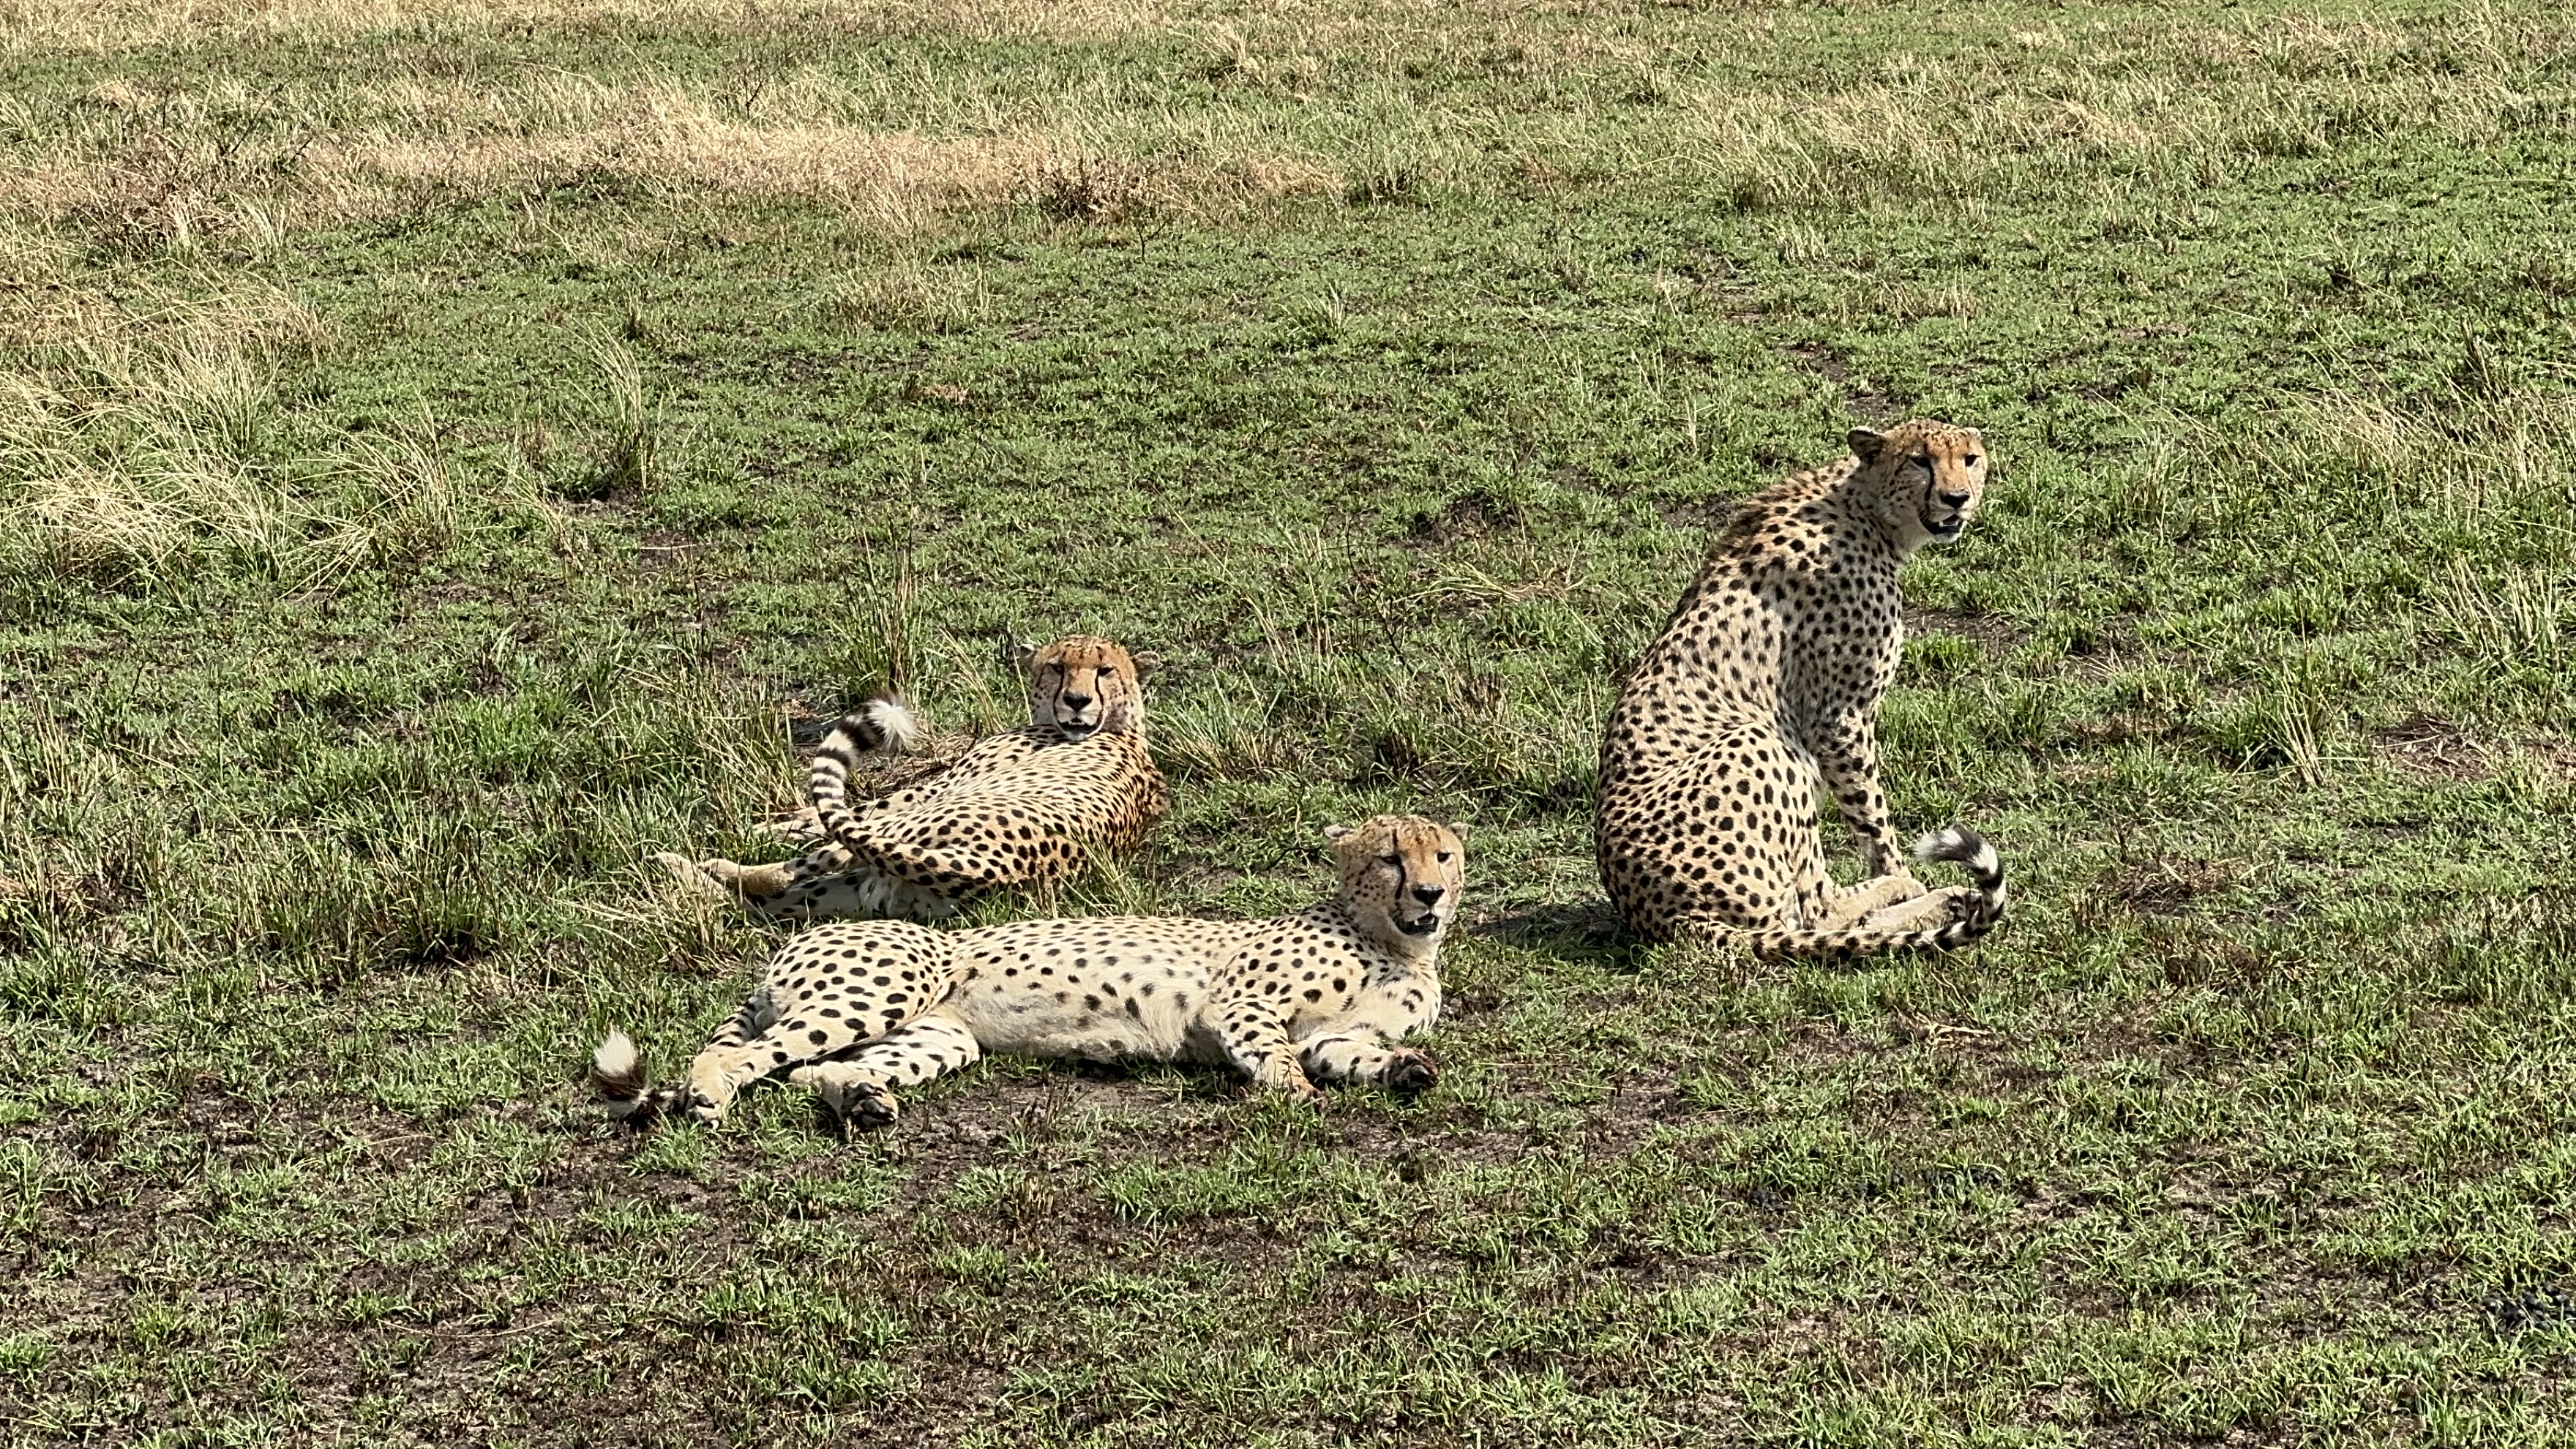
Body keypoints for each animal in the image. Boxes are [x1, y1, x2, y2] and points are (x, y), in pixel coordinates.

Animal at [593, 814, 1467, 1129]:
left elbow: (1348, 1050)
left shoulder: (1335, 1033)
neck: (1397, 943)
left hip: (940, 1038)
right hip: (883, 985)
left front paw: (1406, 1071)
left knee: (809, 1070)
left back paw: (865, 1101)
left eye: (1444, 855)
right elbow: (1280, 1057)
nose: (1431, 893)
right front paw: (1295, 1097)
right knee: (739, 1055)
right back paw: (708, 1094)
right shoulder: (1242, 1006)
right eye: (1392, 858)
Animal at [664, 635, 1169, 924]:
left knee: (784, 874)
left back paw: (697, 864)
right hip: (862, 886)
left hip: (900, 831)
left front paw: (759, 827)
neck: (1126, 726)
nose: (1078, 701)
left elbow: (839, 811)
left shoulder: (930, 789)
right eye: (1057, 667)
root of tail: (999, 869)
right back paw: (691, 879)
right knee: (758, 905)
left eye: (1105, 670)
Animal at [1594, 419, 2008, 957]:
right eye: (1919, 461)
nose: (1957, 498)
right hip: (1763, 740)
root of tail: (1668, 921)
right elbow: (1873, 817)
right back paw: (1921, 894)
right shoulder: (1839, 719)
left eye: (1970, 459)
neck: (1866, 509)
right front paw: (1901, 873)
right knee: (1818, 909)